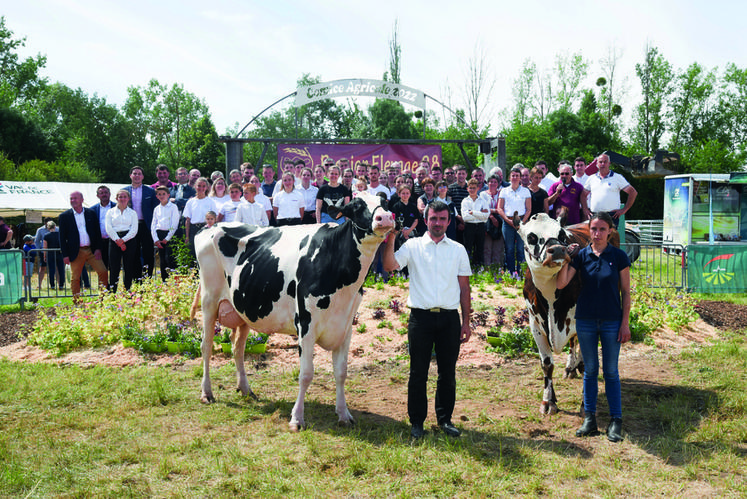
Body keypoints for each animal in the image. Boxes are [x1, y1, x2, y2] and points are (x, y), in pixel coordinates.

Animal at [193, 193, 398, 432]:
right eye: (357, 204)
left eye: (384, 202)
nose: (385, 218)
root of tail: (210, 227)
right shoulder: (306, 325)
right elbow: (306, 374)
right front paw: (297, 419)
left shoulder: (345, 326)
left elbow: (341, 372)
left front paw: (344, 414)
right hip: (209, 300)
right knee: (206, 346)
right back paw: (207, 393)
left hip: (243, 308)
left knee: (238, 348)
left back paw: (245, 389)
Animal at [516, 213, 624, 416]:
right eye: (531, 237)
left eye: (561, 234)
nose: (558, 249)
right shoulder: (535, 325)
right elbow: (547, 364)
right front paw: (548, 401)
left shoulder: (582, 322)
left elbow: (588, 365)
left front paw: (585, 405)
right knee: (573, 344)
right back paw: (570, 368)